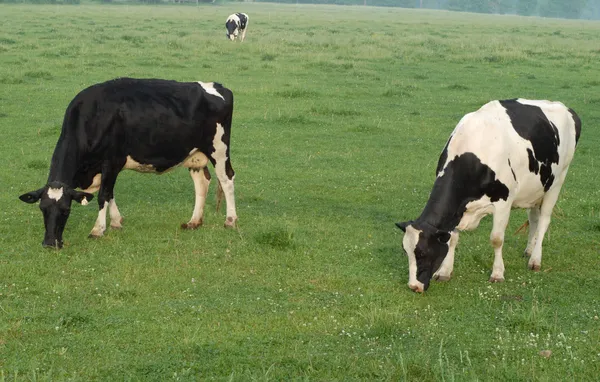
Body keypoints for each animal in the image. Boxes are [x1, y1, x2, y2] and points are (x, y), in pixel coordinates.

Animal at [19, 79, 238, 249]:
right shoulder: (106, 168)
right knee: (202, 182)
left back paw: (230, 220)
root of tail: (219, 87)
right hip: (195, 155)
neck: (94, 116)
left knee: (227, 179)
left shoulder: (111, 162)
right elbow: (110, 193)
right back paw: (194, 222)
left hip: (219, 149)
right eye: (42, 208)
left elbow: (103, 195)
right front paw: (116, 222)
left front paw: (98, 229)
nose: (50, 243)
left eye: (66, 210)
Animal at [396, 98, 580, 292]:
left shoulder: (503, 202)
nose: (413, 286)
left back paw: (535, 259)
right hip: (535, 188)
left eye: (422, 253)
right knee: (534, 218)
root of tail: (564, 107)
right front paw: (445, 272)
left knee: (544, 220)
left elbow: (497, 239)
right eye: (406, 251)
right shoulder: (458, 209)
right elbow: (452, 239)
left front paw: (497, 274)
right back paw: (529, 250)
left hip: (557, 182)